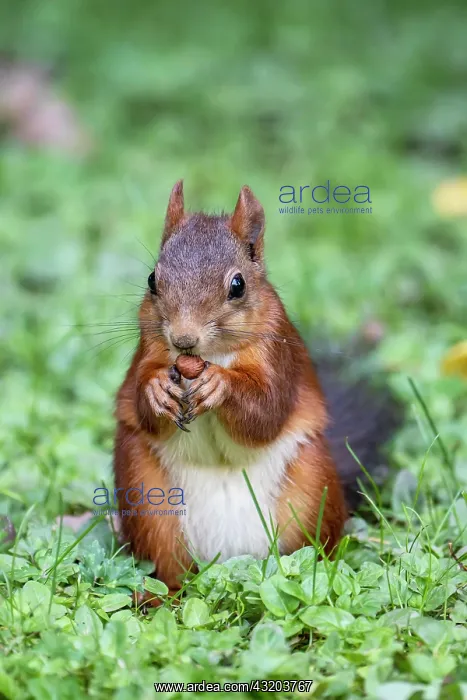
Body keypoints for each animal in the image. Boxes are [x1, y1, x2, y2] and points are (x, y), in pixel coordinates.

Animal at [114, 181, 400, 601]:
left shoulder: (276, 354)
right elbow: (142, 401)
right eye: (152, 279)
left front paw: (222, 385)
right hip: (148, 499)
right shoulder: (148, 349)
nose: (183, 339)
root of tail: (228, 560)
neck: (211, 356)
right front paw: (156, 390)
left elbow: (265, 414)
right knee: (165, 569)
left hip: (311, 492)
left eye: (238, 285)